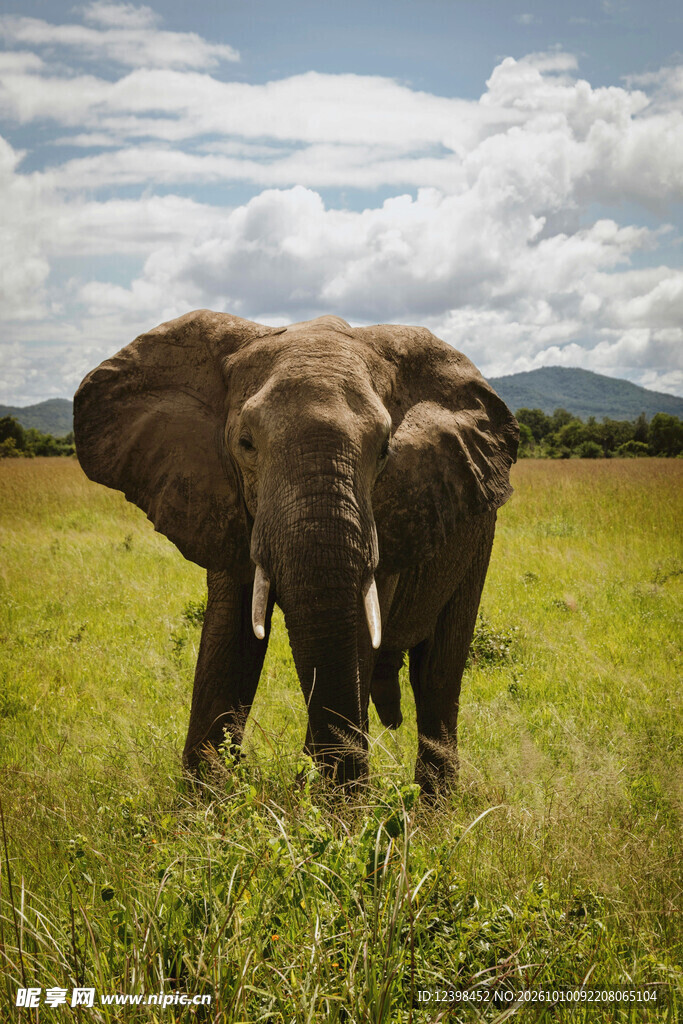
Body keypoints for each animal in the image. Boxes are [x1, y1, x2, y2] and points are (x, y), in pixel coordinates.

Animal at [74, 311, 518, 794]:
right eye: (246, 443)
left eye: (385, 450)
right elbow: (229, 638)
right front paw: (206, 803)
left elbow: (356, 634)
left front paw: (332, 805)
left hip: (480, 535)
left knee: (438, 674)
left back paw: (433, 807)